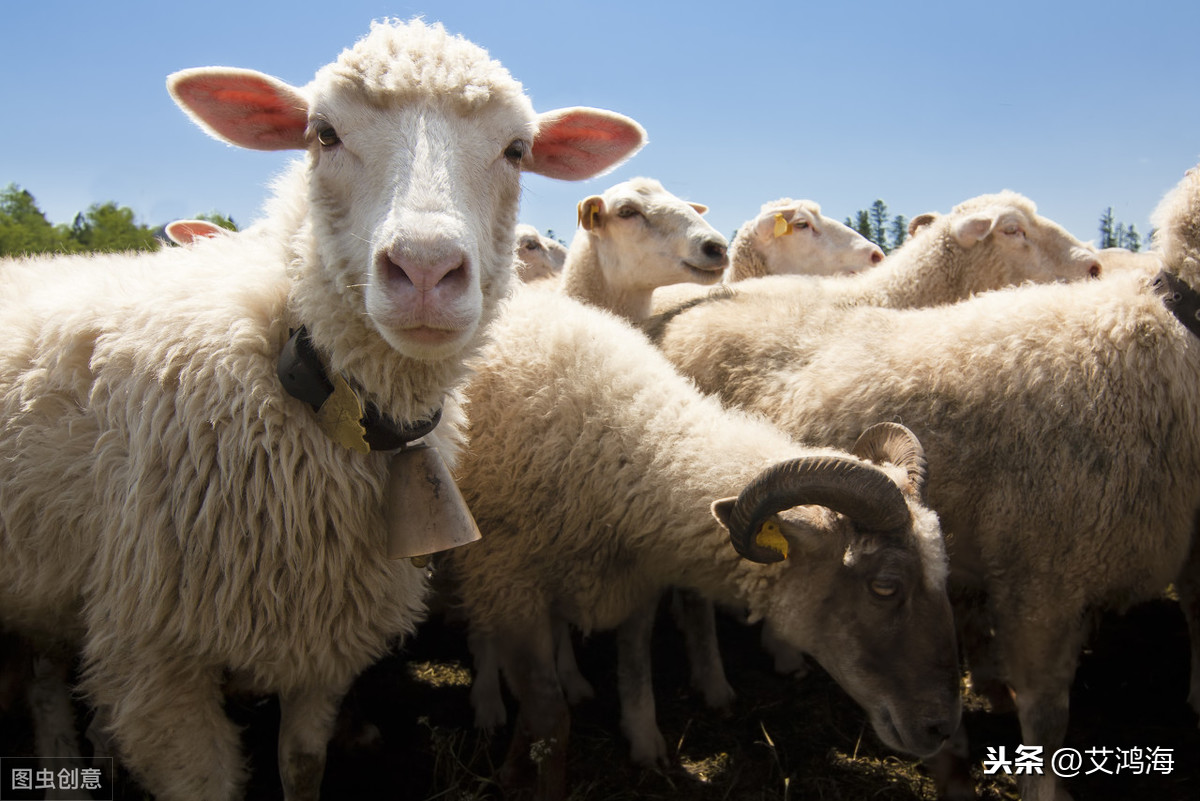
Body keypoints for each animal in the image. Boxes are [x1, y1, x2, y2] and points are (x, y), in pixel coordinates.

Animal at [0, 20, 648, 801]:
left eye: (517, 150)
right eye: (324, 133)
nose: (425, 270)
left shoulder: (321, 639)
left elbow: (302, 764)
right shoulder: (154, 662)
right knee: (42, 683)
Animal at [451, 284, 964, 796]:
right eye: (884, 587)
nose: (942, 729)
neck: (625, 446)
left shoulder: (639, 585)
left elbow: (635, 668)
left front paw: (645, 741)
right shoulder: (512, 589)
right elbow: (548, 716)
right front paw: (524, 776)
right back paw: (489, 703)